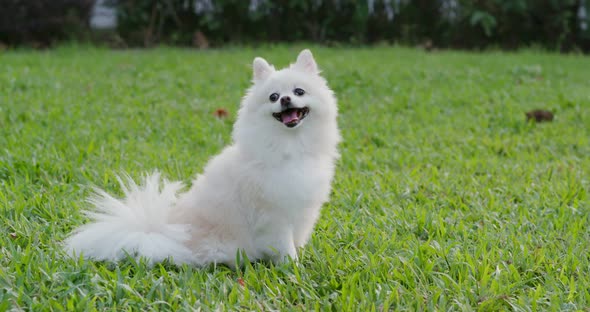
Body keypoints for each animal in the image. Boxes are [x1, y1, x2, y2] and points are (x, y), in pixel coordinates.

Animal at [63, 48, 342, 266]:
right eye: (273, 96)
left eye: (299, 91)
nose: (285, 99)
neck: (290, 146)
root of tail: (162, 233)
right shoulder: (273, 215)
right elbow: (284, 246)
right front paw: (292, 268)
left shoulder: (303, 211)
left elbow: (298, 239)